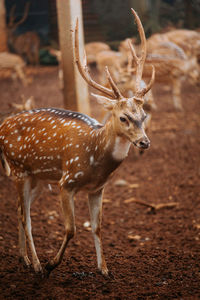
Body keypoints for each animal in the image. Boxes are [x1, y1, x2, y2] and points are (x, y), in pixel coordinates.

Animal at [0, 8, 155, 276]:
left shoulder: (97, 189)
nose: (144, 142)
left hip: (38, 178)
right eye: (123, 117)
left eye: (143, 115)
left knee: (19, 210)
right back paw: (37, 265)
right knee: (25, 218)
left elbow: (97, 227)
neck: (95, 159)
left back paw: (25, 259)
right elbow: (71, 229)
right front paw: (52, 264)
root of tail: (1, 126)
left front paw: (104, 269)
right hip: (19, 170)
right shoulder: (67, 182)